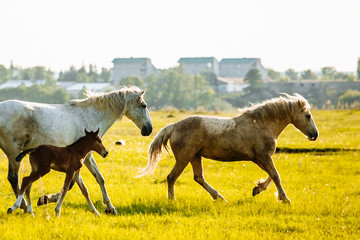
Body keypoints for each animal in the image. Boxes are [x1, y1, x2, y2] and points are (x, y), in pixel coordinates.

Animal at [0, 86, 152, 214]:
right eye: (144, 105)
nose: (149, 129)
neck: (90, 115)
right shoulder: (86, 156)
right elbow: (73, 184)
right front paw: (47, 199)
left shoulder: (85, 158)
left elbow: (99, 179)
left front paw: (110, 208)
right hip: (14, 153)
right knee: (14, 178)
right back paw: (23, 207)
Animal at [138, 93, 318, 202]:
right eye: (308, 115)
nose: (314, 135)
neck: (263, 124)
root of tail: (174, 126)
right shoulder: (264, 156)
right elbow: (276, 175)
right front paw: (285, 199)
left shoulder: (259, 158)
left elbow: (272, 175)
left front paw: (257, 188)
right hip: (184, 158)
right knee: (171, 177)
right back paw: (173, 201)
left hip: (195, 156)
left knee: (198, 178)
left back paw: (220, 198)